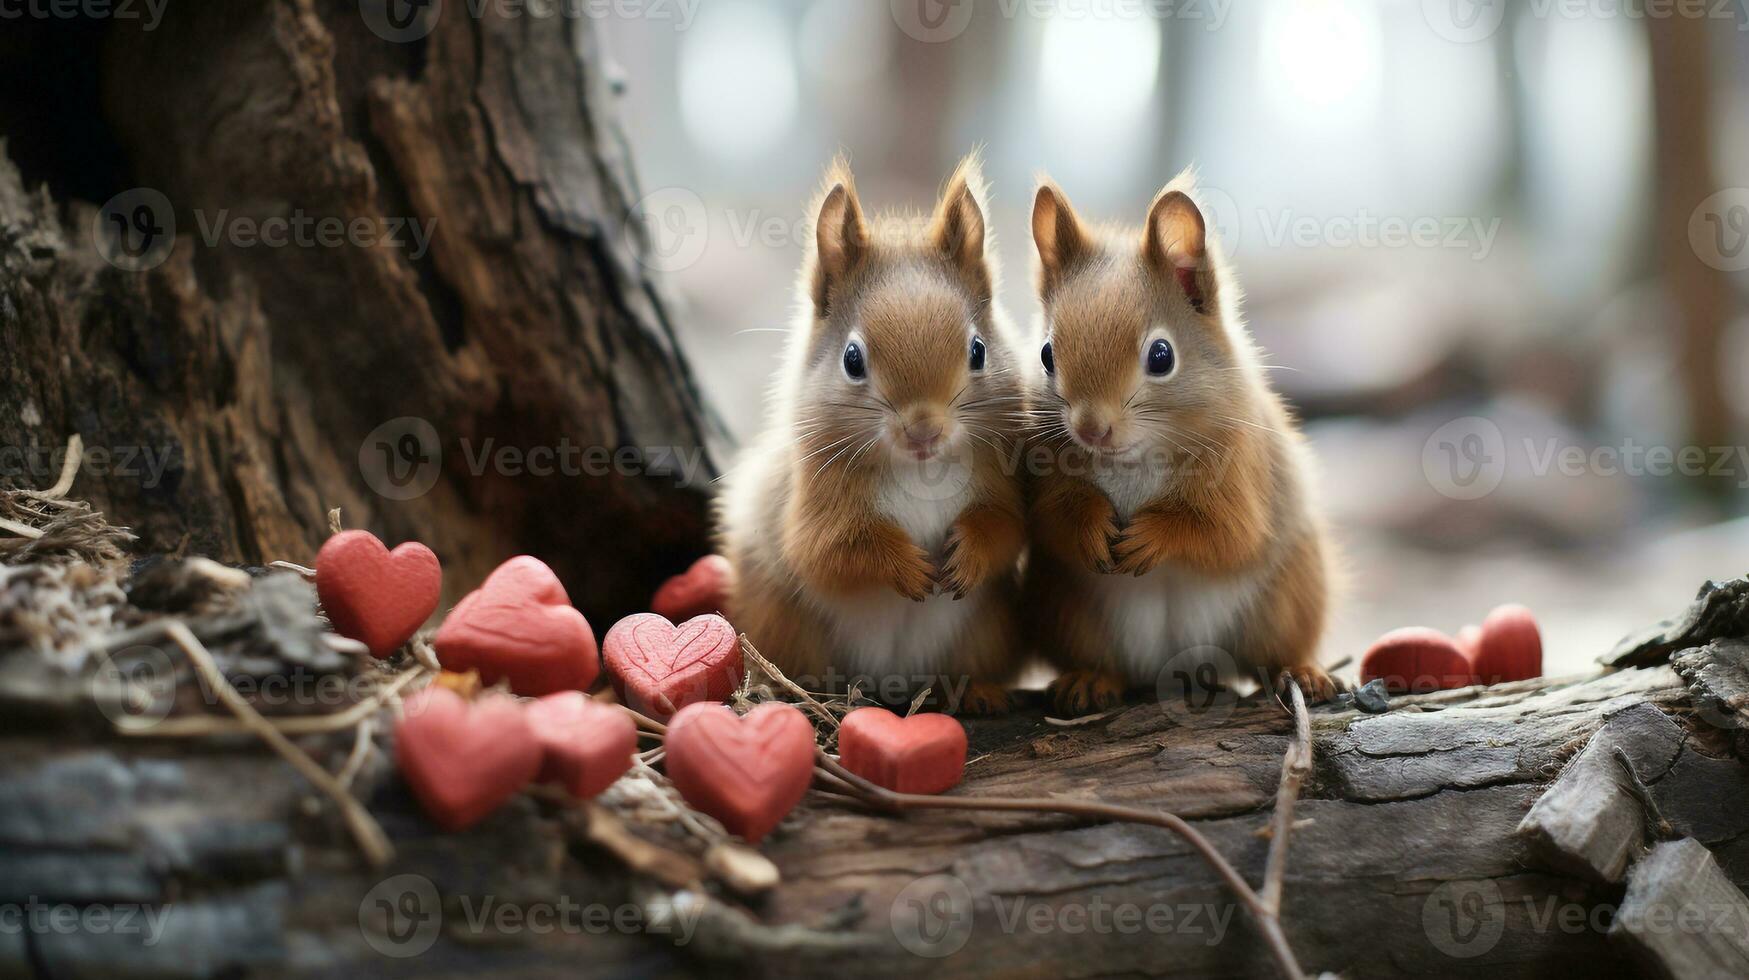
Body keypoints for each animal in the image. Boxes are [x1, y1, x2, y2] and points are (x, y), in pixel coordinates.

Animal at [720, 154, 1028, 721]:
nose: (924, 431)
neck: (921, 470)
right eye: (852, 358)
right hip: (786, 623)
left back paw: (979, 692)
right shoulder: (815, 501)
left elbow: (1005, 527)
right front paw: (907, 567)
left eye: (978, 350)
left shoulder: (1001, 483)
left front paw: (969, 555)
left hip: (987, 632)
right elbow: (829, 551)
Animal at [1021, 172, 1329, 717]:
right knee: (1105, 664)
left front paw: (1152, 536)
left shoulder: (1240, 473)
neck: (1134, 458)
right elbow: (1054, 521)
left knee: (1275, 652)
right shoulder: (1045, 475)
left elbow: (1226, 534)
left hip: (1286, 601)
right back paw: (1089, 681)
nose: (1091, 429)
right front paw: (1090, 528)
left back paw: (1301, 673)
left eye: (1161, 356)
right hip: (1071, 613)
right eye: (1045, 354)